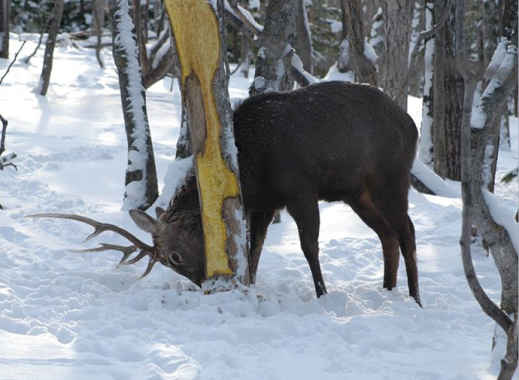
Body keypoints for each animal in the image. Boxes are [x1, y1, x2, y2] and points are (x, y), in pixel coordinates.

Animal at [30, 80, 422, 306]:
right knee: (387, 234)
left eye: (173, 256)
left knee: (407, 230)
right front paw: (250, 286)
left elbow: (309, 246)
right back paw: (388, 291)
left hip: (390, 177)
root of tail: (412, 126)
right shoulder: (263, 203)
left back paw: (415, 298)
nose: (204, 284)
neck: (251, 166)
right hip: (358, 193)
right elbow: (253, 248)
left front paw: (322, 295)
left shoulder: (299, 190)